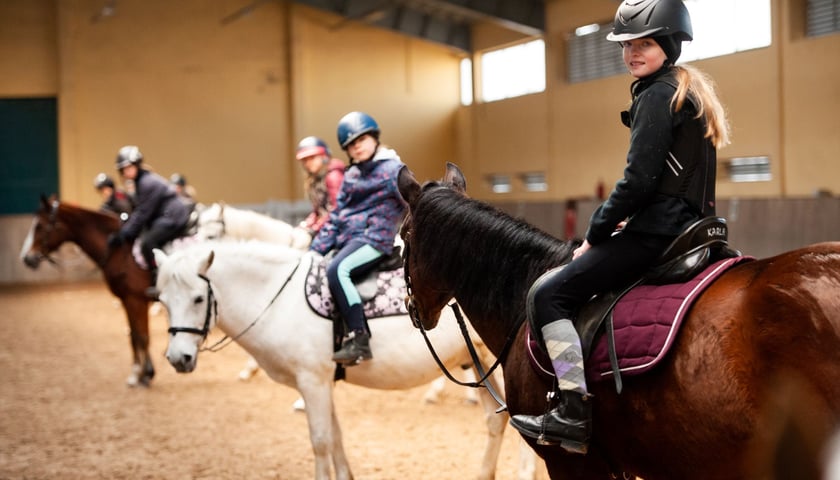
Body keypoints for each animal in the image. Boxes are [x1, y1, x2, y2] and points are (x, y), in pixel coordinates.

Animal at [20, 195, 156, 386]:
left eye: (39, 225)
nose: (27, 258)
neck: (122, 251)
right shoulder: (127, 300)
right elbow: (133, 334)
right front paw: (139, 373)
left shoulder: (136, 300)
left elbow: (142, 336)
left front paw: (144, 373)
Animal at [153, 244, 520, 480]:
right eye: (163, 300)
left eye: (198, 298)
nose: (178, 358)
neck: (279, 298)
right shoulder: (321, 383)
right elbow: (336, 437)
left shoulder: (312, 381)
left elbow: (320, 442)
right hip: (478, 365)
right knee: (496, 421)